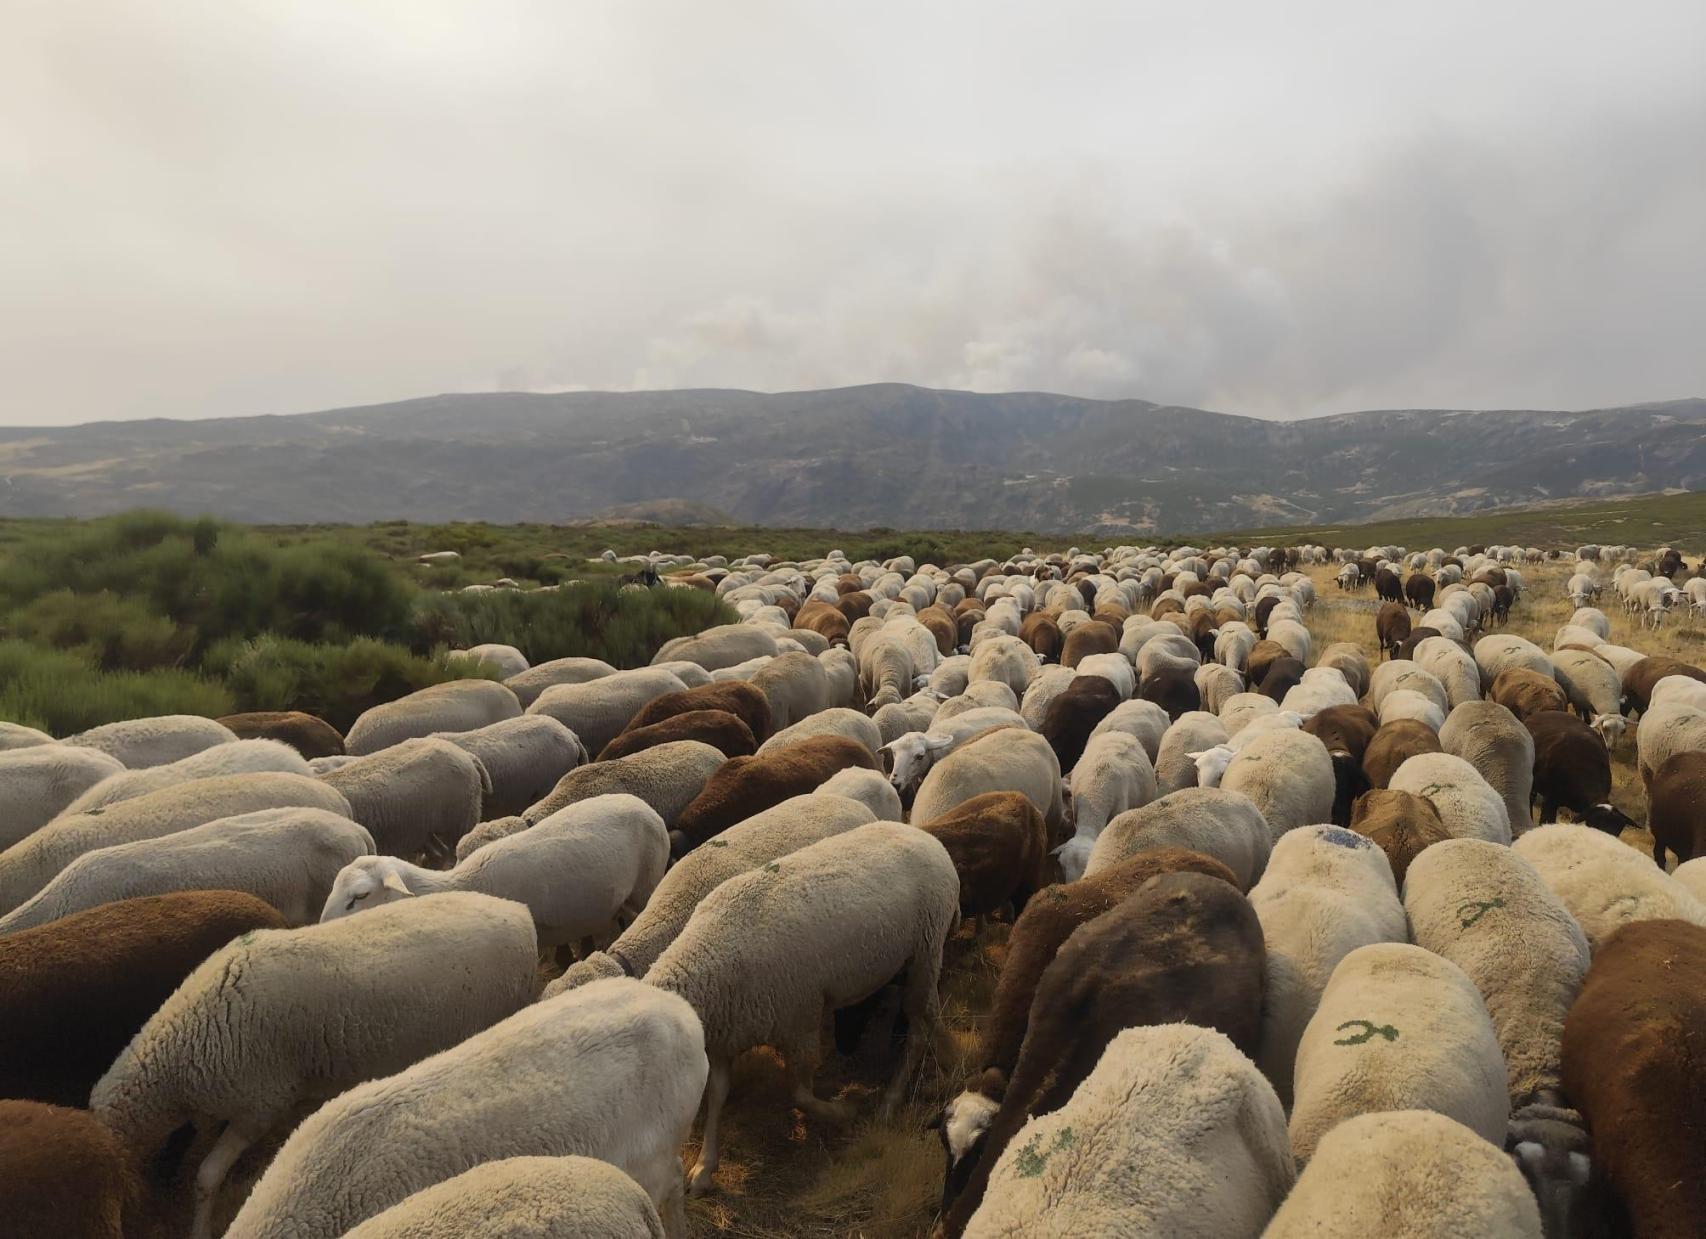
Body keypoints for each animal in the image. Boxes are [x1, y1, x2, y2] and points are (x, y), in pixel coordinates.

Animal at [647, 821, 956, 1195]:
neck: (705, 956)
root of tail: (924, 835)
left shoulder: (801, 1023)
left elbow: (799, 1095)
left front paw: (843, 1111)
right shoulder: (726, 1036)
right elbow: (718, 1096)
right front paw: (705, 1167)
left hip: (927, 947)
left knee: (920, 1023)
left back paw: (895, 1097)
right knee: (926, 1013)